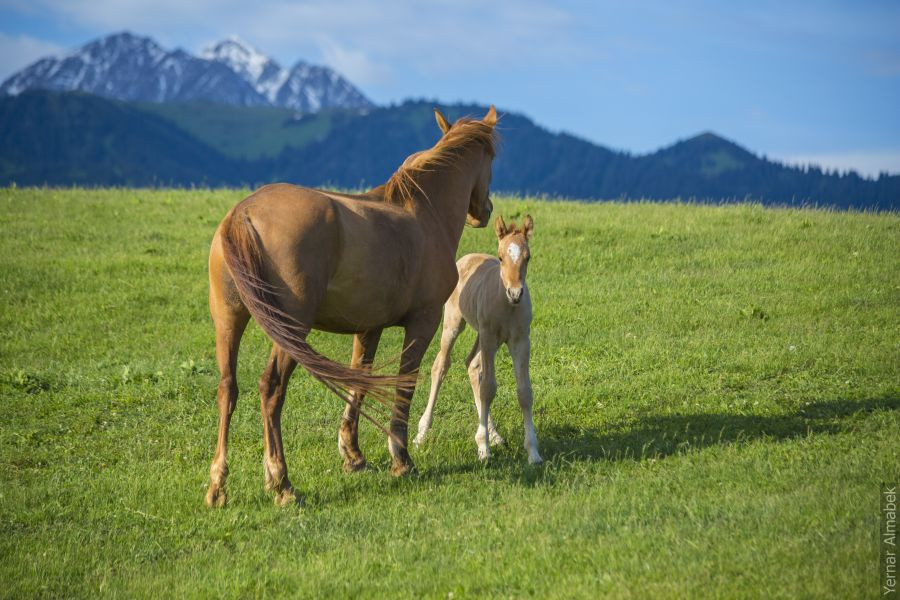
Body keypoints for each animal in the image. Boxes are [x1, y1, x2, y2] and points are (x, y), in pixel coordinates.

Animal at [206, 104, 500, 506]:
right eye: (492, 159)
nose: (484, 210)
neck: (424, 212)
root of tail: (243, 214)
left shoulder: (368, 327)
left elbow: (359, 380)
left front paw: (353, 454)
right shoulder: (423, 323)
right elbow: (405, 384)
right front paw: (401, 458)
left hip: (229, 321)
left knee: (228, 388)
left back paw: (218, 485)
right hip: (290, 329)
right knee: (271, 389)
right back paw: (281, 483)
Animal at [414, 216, 540, 464]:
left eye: (528, 257)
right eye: (500, 257)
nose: (516, 293)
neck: (506, 305)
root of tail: (467, 257)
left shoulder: (521, 340)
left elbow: (525, 392)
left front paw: (533, 452)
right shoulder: (489, 338)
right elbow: (488, 388)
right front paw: (483, 449)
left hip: (483, 335)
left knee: (472, 364)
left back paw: (495, 434)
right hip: (455, 325)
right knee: (440, 365)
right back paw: (422, 433)